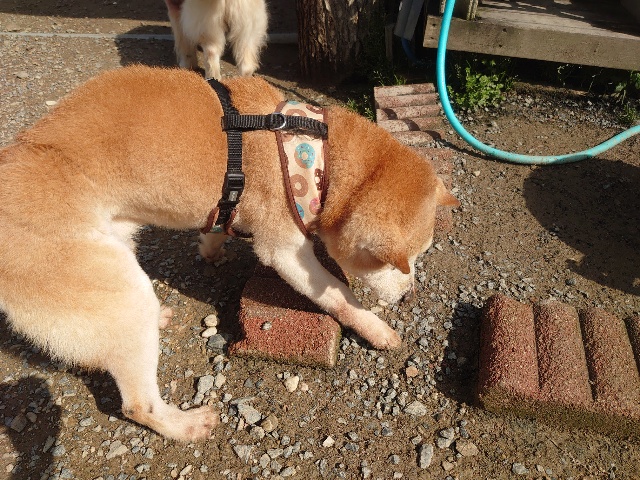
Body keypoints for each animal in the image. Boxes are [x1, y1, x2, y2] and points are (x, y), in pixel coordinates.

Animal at [0, 66, 459, 442]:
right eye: (401, 264)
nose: (409, 295)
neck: (313, 152)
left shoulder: (229, 205)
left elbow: (218, 226)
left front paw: (212, 247)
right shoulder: (286, 251)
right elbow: (338, 296)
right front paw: (376, 328)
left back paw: (159, 318)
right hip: (115, 288)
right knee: (137, 404)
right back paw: (184, 426)